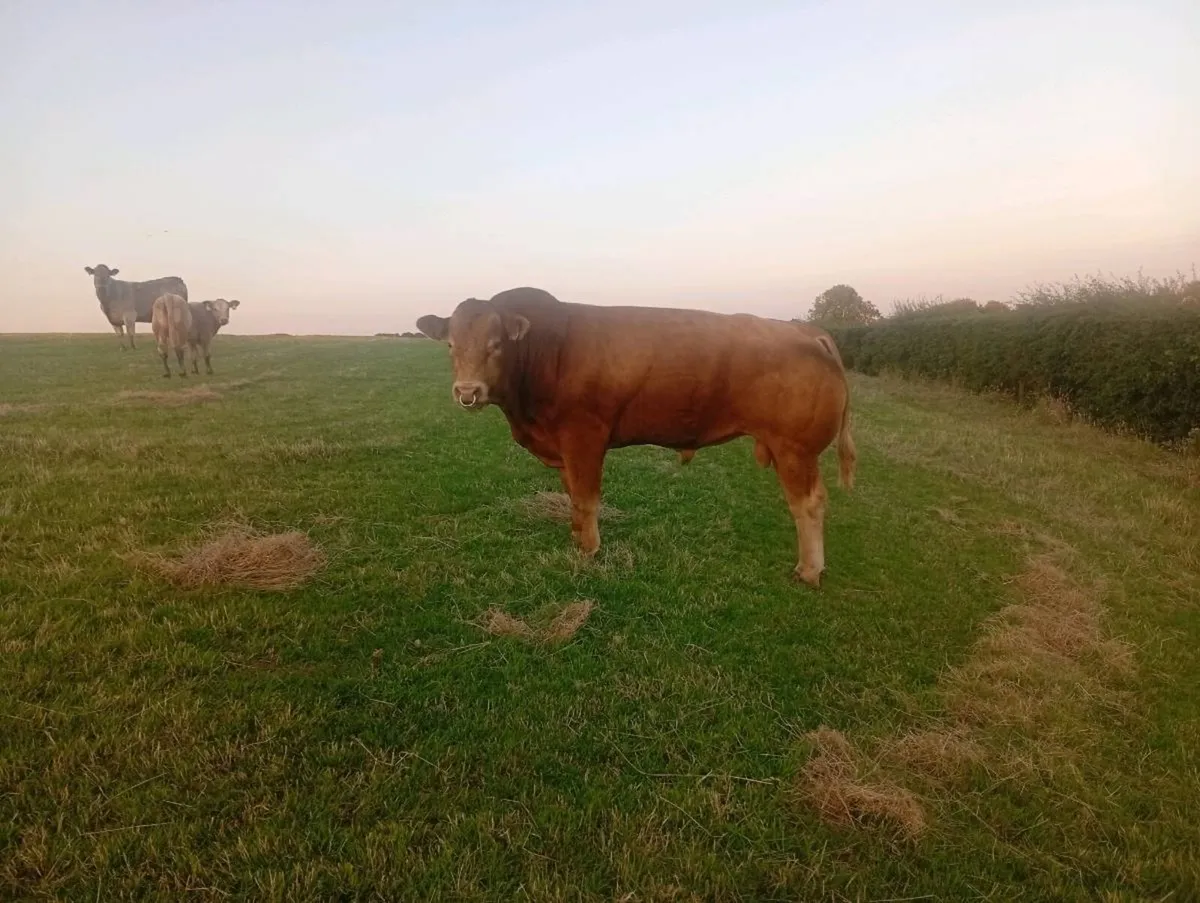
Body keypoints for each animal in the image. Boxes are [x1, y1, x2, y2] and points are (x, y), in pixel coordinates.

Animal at [416, 291, 856, 586]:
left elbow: (586, 498)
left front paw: (590, 550)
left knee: (808, 505)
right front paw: (576, 537)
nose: (468, 392)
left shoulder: (584, 437)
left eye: (496, 345)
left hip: (795, 449)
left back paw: (809, 569)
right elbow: (572, 496)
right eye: (451, 344)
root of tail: (806, 331)